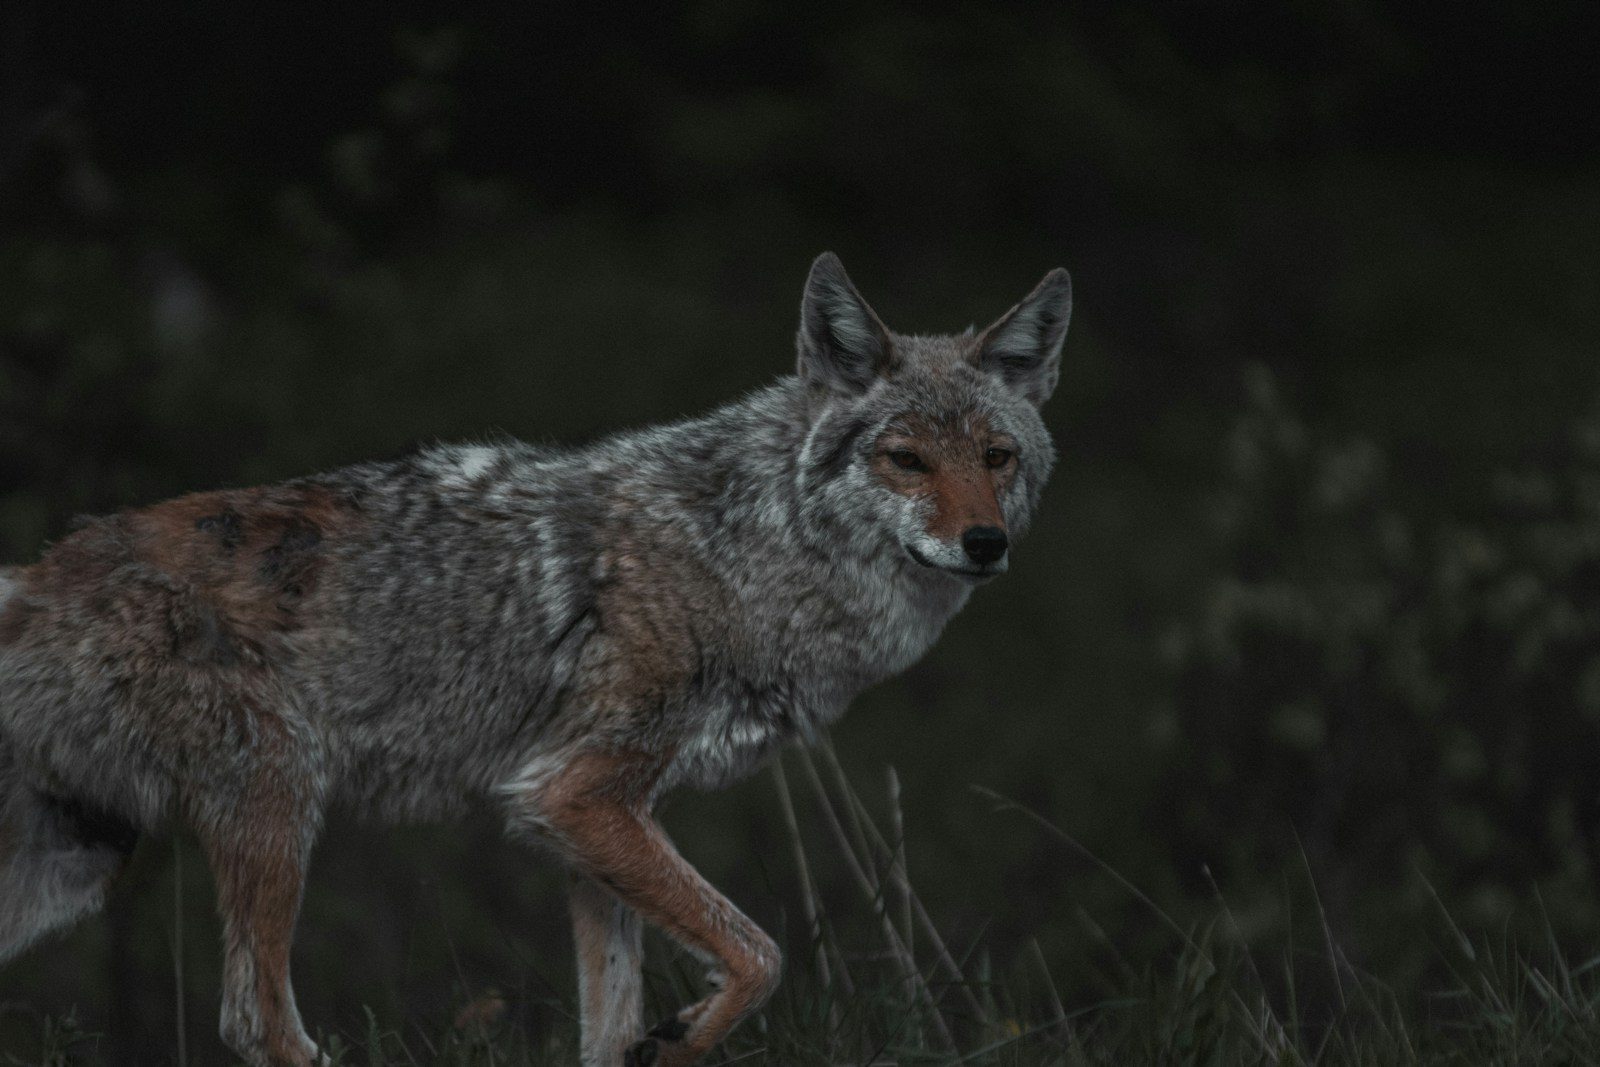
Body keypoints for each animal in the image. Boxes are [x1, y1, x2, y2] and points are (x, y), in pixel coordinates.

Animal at [0, 252, 1070, 1066]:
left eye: (996, 456)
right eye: (906, 459)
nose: (984, 543)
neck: (748, 555)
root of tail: (35, 576)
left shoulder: (597, 828)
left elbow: (617, 1020)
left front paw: (658, 1040)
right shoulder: (573, 794)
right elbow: (761, 954)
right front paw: (683, 1035)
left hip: (74, 868)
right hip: (273, 815)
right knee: (257, 1025)